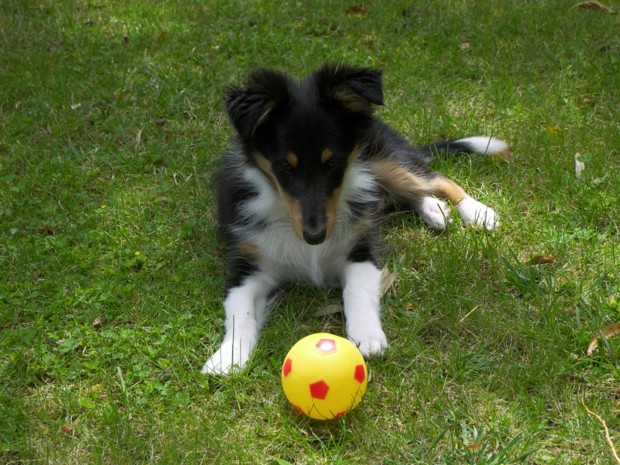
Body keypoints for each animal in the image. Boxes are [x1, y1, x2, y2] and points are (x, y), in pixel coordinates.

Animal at [201, 62, 506, 374]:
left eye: (333, 163)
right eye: (285, 167)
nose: (315, 236)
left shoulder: (360, 250)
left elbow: (357, 292)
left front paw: (367, 336)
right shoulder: (247, 267)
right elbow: (240, 312)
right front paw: (228, 357)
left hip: (382, 160)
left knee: (435, 178)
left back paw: (476, 211)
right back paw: (435, 210)